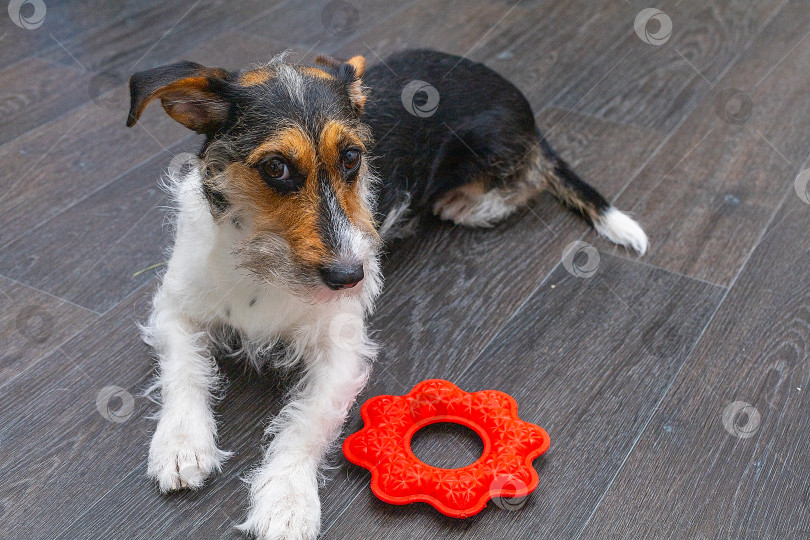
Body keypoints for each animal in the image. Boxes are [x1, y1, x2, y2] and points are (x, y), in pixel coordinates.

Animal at [124, 48, 644, 536]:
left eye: (353, 158)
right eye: (275, 167)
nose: (352, 276)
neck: (263, 264)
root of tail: (517, 98)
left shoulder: (343, 351)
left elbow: (305, 423)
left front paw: (287, 499)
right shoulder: (174, 308)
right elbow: (184, 369)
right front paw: (181, 444)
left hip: (489, 149)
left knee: (530, 179)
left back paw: (468, 203)